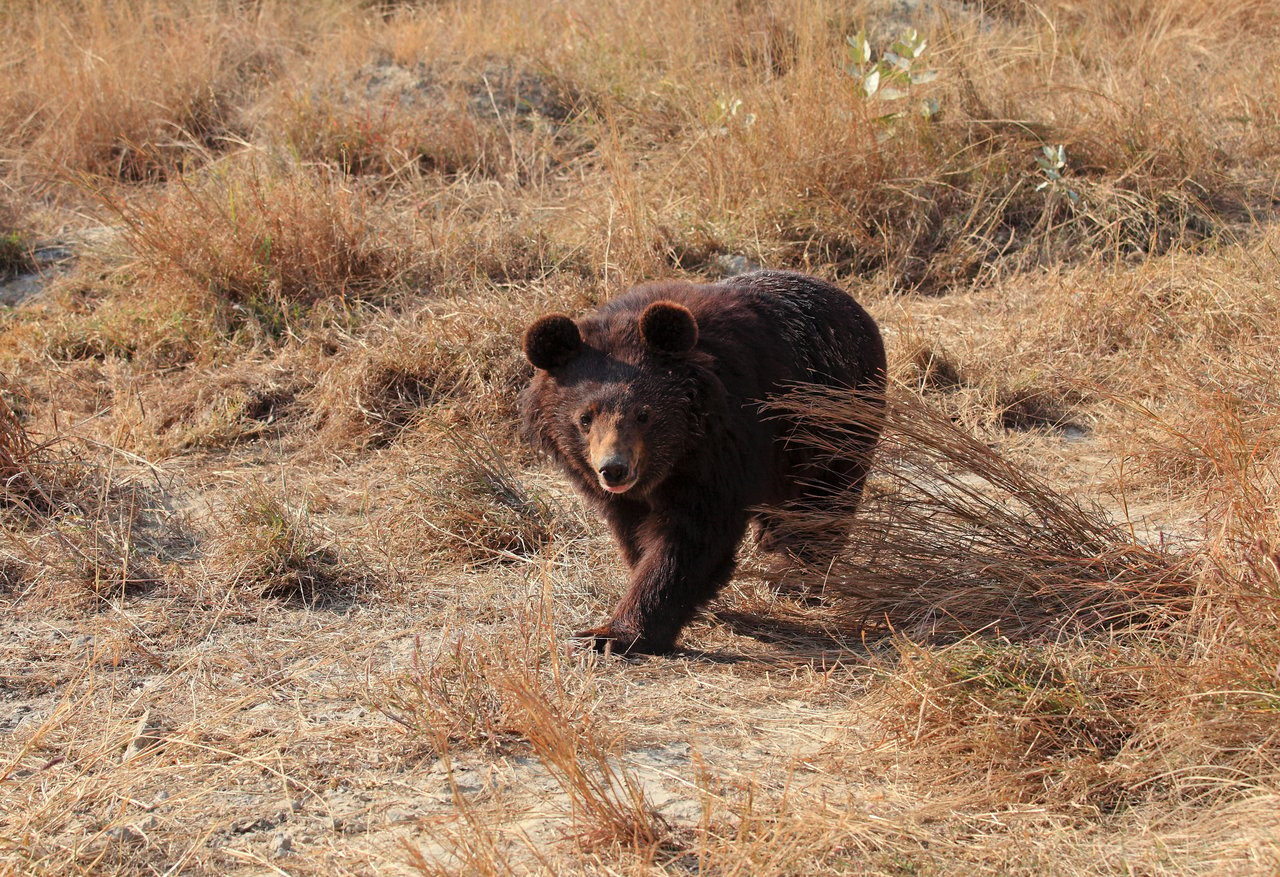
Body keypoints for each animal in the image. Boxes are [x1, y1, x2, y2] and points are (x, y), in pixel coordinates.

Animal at [514, 270, 885, 652]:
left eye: (643, 414)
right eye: (585, 418)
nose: (614, 469)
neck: (676, 454)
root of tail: (853, 306)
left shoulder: (724, 451)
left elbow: (692, 538)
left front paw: (613, 634)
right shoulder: (623, 494)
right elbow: (633, 532)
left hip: (833, 423)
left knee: (822, 504)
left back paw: (795, 575)